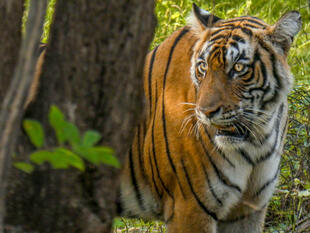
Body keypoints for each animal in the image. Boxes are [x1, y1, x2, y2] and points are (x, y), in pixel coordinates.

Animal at [118, 3, 300, 233]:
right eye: (203, 66)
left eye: (238, 68)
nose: (205, 112)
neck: (257, 141)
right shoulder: (189, 208)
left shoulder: (248, 210)